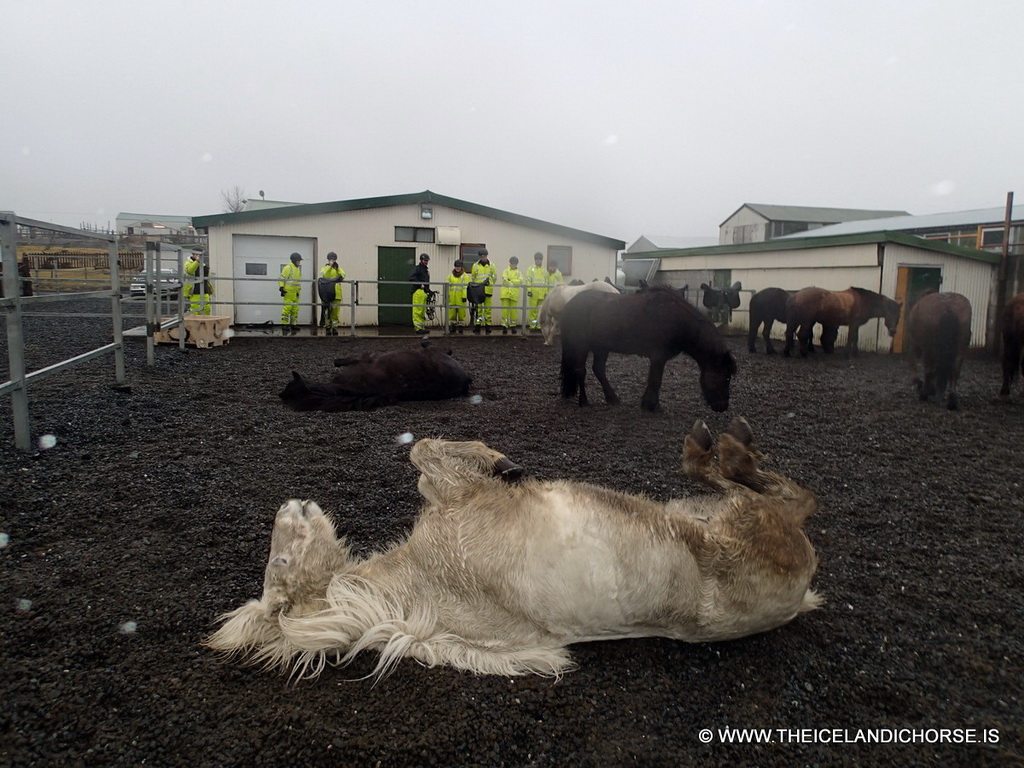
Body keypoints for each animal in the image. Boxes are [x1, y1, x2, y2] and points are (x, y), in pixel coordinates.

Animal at [280, 344, 471, 411]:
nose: (279, 395)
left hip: (436, 352)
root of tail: (464, 381)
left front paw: (337, 361)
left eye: (289, 386)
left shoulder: (364, 360)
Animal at [561, 286, 737, 415]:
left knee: (598, 369)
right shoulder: (658, 357)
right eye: (726, 377)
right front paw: (653, 406)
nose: (723, 406)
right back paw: (584, 402)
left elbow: (653, 380)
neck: (679, 321)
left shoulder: (658, 358)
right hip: (581, 345)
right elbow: (656, 380)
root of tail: (569, 305)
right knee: (580, 371)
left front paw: (648, 404)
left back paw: (612, 398)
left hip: (601, 347)